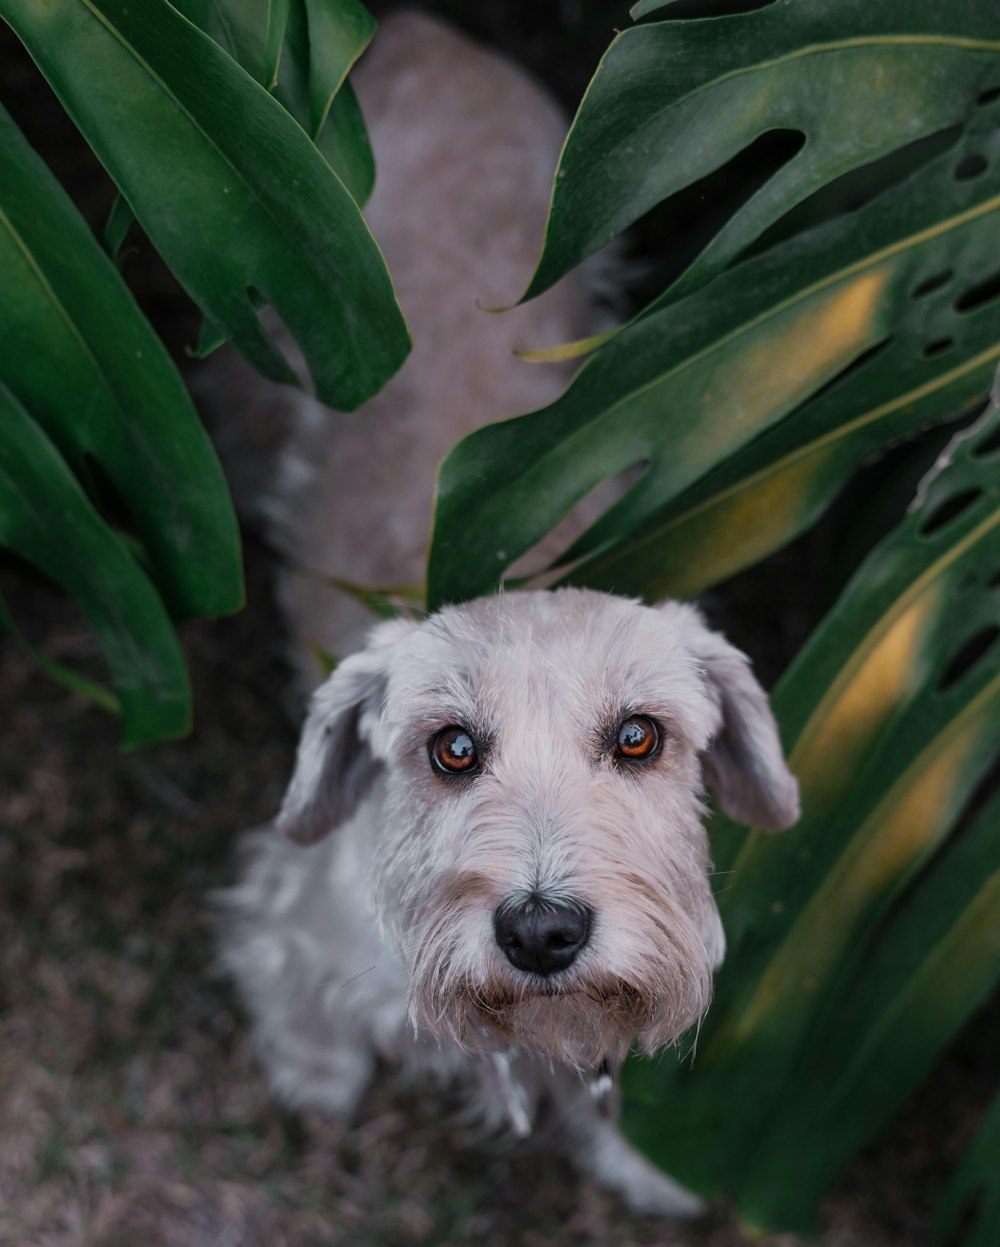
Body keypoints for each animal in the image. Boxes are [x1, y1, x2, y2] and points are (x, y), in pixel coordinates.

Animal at [206, 9, 798, 1217]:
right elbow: (298, 1000)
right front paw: (316, 1076)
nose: (542, 929)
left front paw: (648, 1164)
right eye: (450, 746)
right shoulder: (303, 912)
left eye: (639, 736)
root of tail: (421, 33)